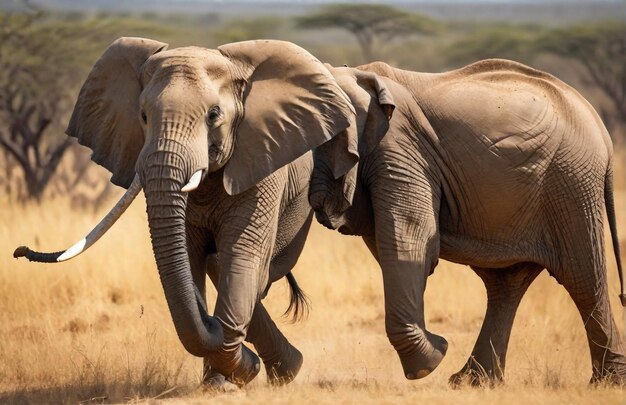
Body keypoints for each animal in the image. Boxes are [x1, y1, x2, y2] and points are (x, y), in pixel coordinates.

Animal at [13, 37, 356, 386]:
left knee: (251, 271)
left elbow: (241, 254)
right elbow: (189, 258)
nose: (19, 250)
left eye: (214, 115)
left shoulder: (261, 162)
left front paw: (232, 371)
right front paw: (223, 378)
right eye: (143, 116)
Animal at [308, 60, 624, 386]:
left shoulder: (399, 149)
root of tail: (600, 129)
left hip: (571, 184)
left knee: (582, 277)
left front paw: (429, 362)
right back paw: (474, 381)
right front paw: (433, 356)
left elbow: (409, 235)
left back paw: (606, 382)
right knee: (506, 283)